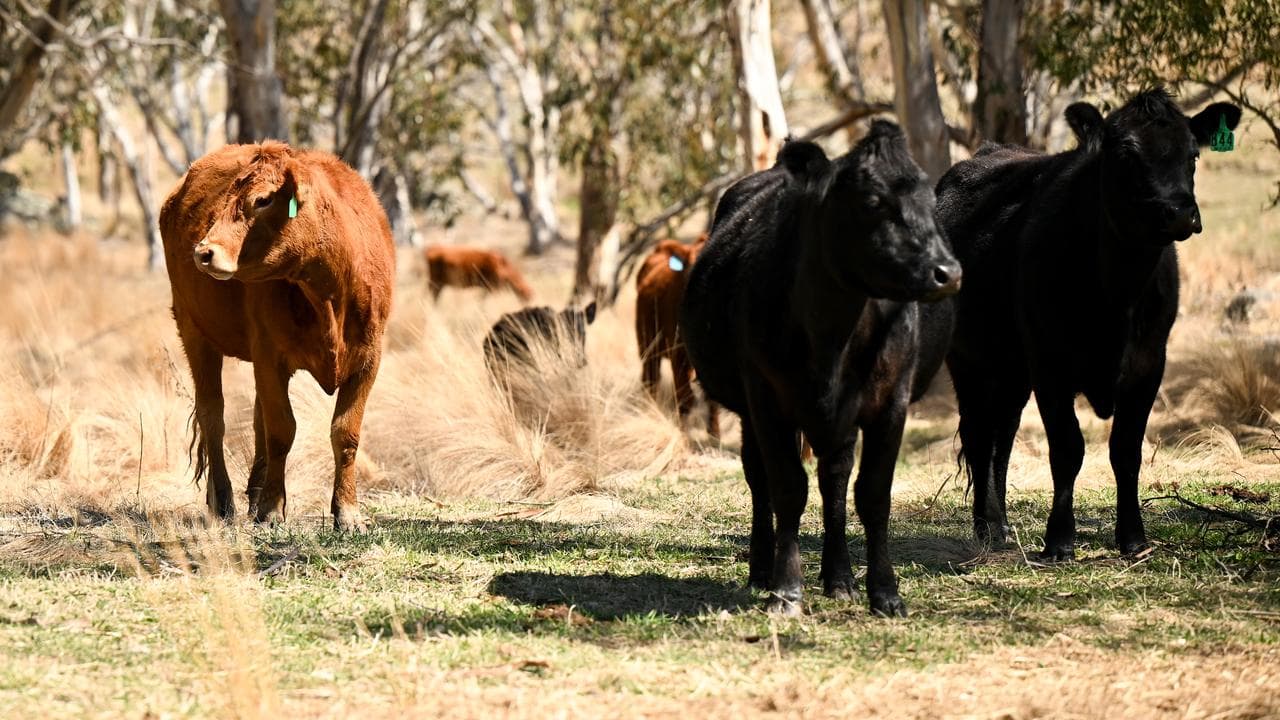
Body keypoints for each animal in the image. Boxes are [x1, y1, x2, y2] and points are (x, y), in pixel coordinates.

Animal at [160, 141, 396, 532]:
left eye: (263, 200)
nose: (203, 251)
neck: (330, 293)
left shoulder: (369, 359)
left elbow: (345, 433)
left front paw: (347, 512)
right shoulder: (270, 356)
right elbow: (281, 431)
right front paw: (272, 509)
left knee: (256, 418)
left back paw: (254, 494)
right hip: (194, 332)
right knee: (213, 416)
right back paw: (223, 501)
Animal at [635, 234, 719, 439]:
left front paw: (715, 436)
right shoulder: (678, 354)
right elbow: (685, 398)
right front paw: (684, 436)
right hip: (647, 346)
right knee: (650, 380)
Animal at [681, 121, 962, 616]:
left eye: (930, 200)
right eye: (872, 201)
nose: (947, 272)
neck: (832, 334)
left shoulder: (891, 402)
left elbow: (873, 493)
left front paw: (884, 592)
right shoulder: (766, 400)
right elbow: (787, 488)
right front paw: (786, 590)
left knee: (835, 478)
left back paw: (839, 578)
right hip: (754, 411)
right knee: (760, 479)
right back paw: (762, 571)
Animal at [929, 89, 1241, 560]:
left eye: (1193, 154)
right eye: (1127, 154)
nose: (1180, 213)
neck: (1117, 293)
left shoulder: (1149, 363)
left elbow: (1126, 450)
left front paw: (1134, 539)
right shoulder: (1050, 365)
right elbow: (1067, 448)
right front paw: (1059, 540)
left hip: (1013, 368)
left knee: (1003, 434)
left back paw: (1002, 526)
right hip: (968, 359)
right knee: (981, 435)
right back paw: (989, 526)